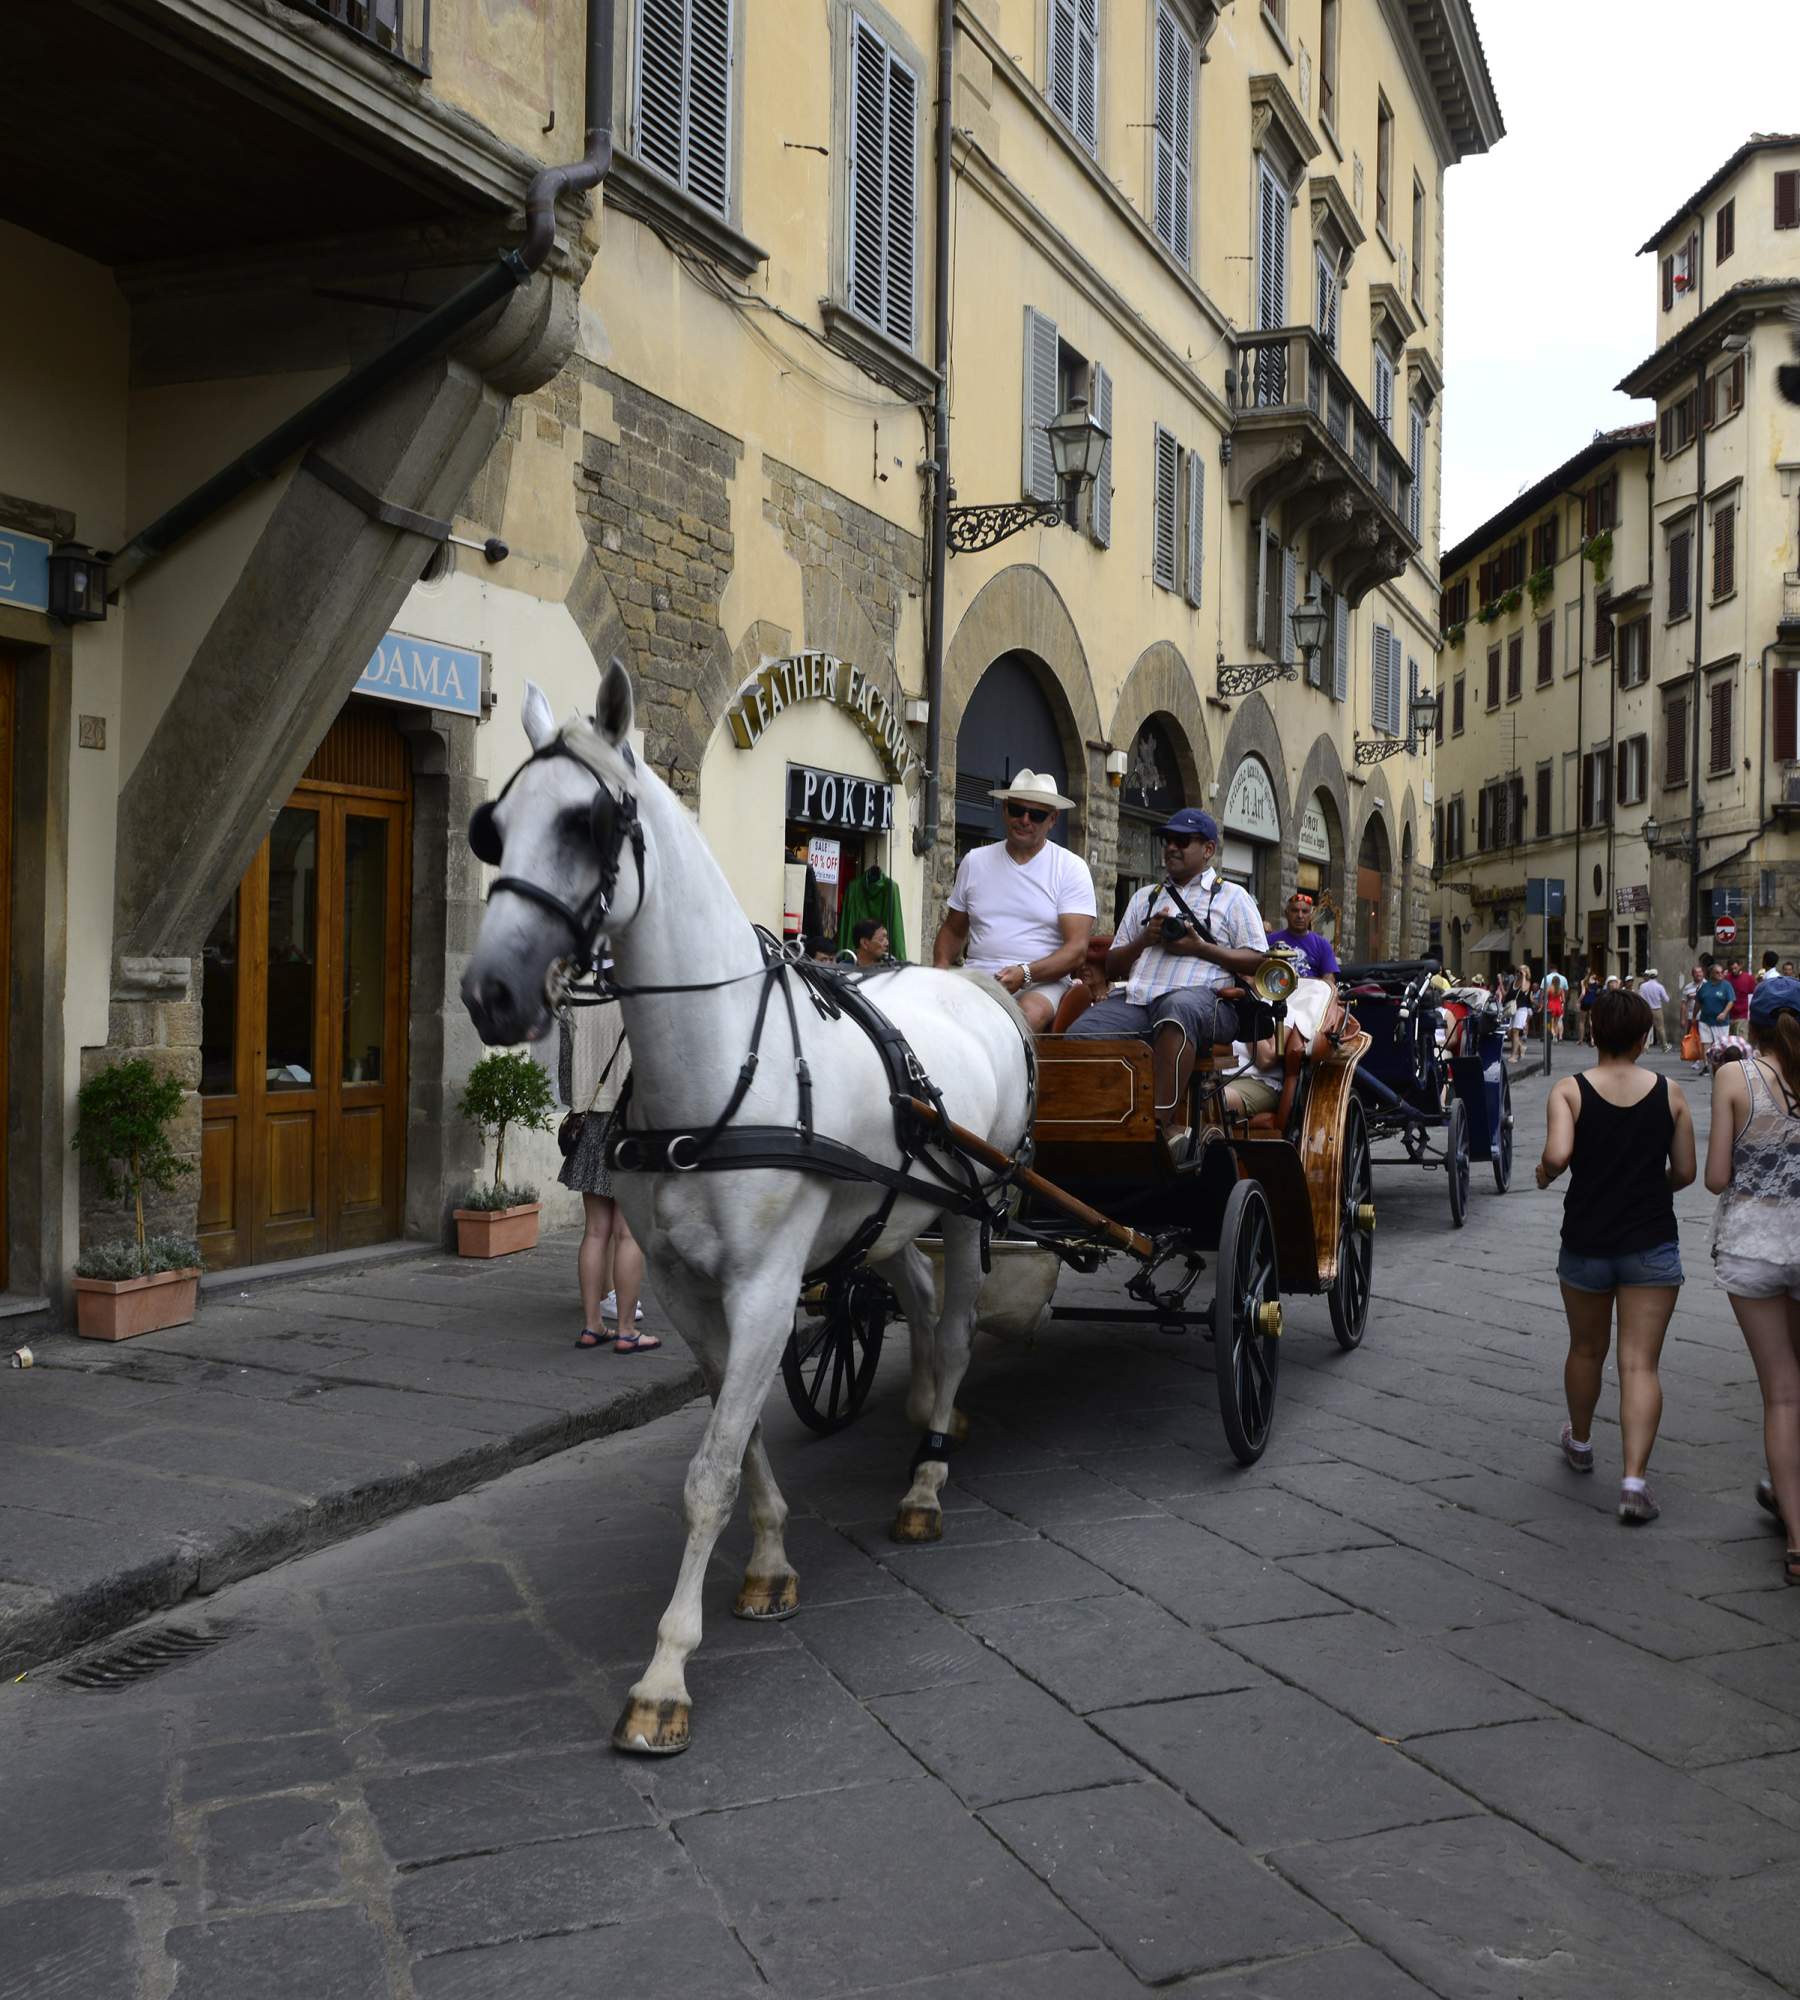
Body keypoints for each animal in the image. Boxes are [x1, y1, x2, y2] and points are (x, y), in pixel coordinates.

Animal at [458, 664, 1032, 1760]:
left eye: (591, 824)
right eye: (493, 828)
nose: (489, 990)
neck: (718, 1065)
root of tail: (980, 985)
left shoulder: (766, 1287)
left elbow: (709, 1470)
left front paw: (663, 1675)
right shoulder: (688, 1291)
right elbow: (739, 1435)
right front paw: (768, 1562)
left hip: (975, 1207)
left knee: (958, 1323)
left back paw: (927, 1479)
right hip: (891, 1215)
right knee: (919, 1300)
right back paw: (928, 1416)